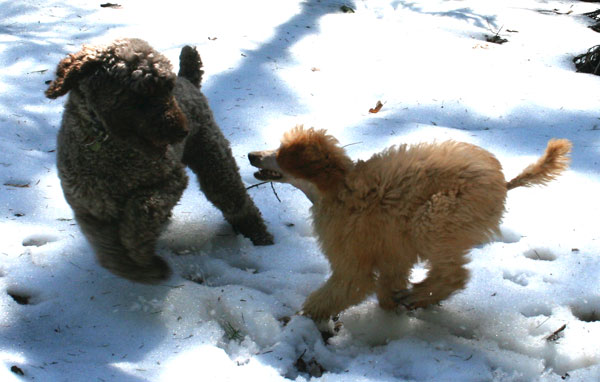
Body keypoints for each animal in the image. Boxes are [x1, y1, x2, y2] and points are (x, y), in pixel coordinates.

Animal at [45, 38, 274, 284]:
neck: (107, 146)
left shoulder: (172, 180)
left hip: (213, 161)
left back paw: (260, 238)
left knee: (237, 202)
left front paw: (145, 259)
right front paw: (140, 270)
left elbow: (141, 211)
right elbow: (109, 251)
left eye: (167, 88)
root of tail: (188, 80)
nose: (182, 131)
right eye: (142, 91)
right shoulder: (92, 210)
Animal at [250, 127, 572, 320]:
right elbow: (388, 282)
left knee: (455, 274)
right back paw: (417, 297)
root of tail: (503, 182)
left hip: (436, 216)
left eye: (280, 153)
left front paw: (302, 319)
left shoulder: (352, 259)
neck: (337, 188)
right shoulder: (393, 250)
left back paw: (419, 295)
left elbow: (343, 288)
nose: (252, 154)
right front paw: (390, 307)